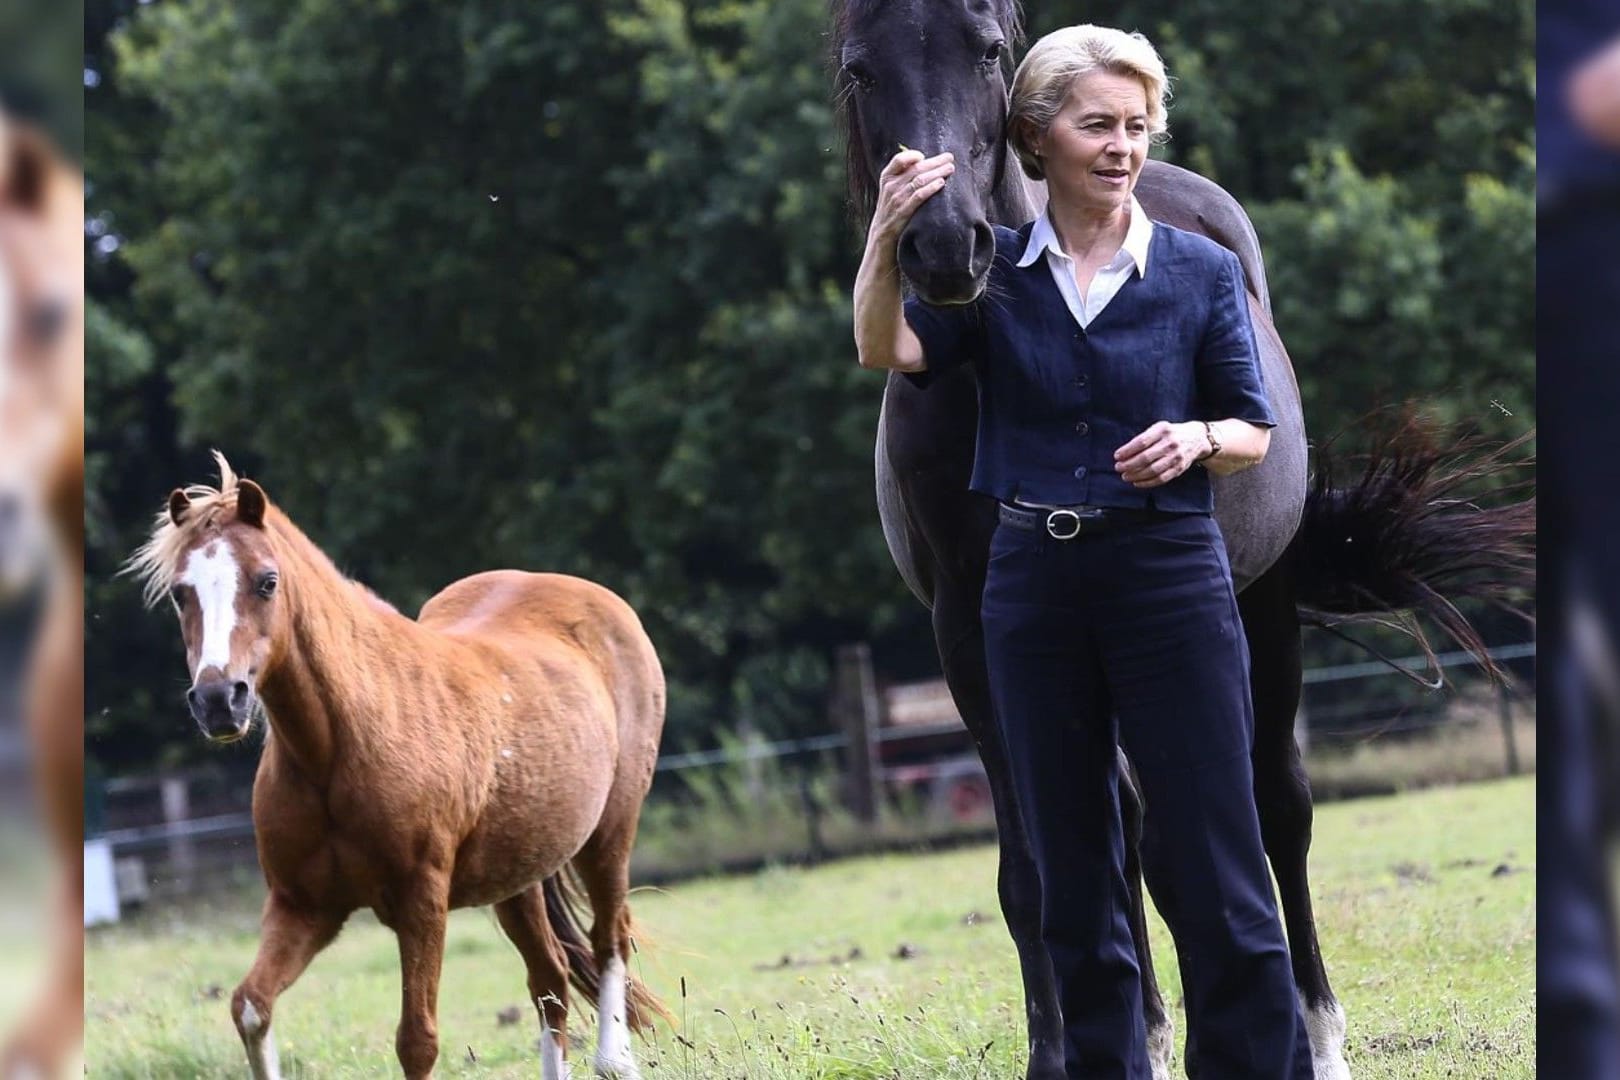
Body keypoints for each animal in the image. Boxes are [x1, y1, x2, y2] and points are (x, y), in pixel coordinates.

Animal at [124, 456, 670, 1080]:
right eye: (180, 593)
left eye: (267, 581)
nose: (219, 701)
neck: (338, 747)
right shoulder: (304, 906)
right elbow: (250, 1008)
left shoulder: (421, 903)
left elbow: (418, 1041)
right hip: (519, 873)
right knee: (549, 980)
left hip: (610, 833)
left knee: (609, 940)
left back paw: (614, 1057)